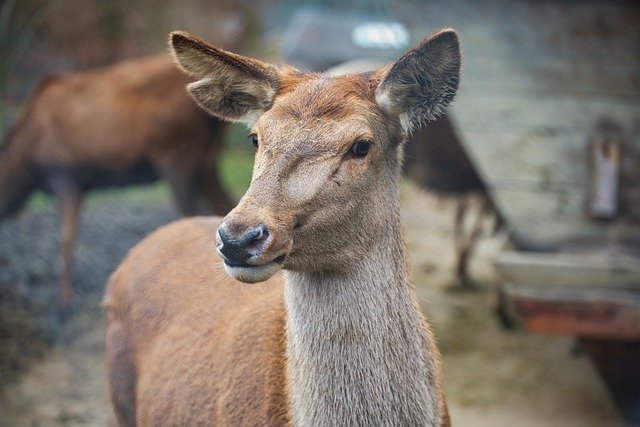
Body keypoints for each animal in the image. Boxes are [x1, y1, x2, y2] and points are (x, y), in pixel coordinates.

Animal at [0, 54, 234, 314]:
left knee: (193, 211)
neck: (25, 165)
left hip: (178, 153)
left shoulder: (65, 176)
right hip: (207, 159)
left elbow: (65, 240)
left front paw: (64, 304)